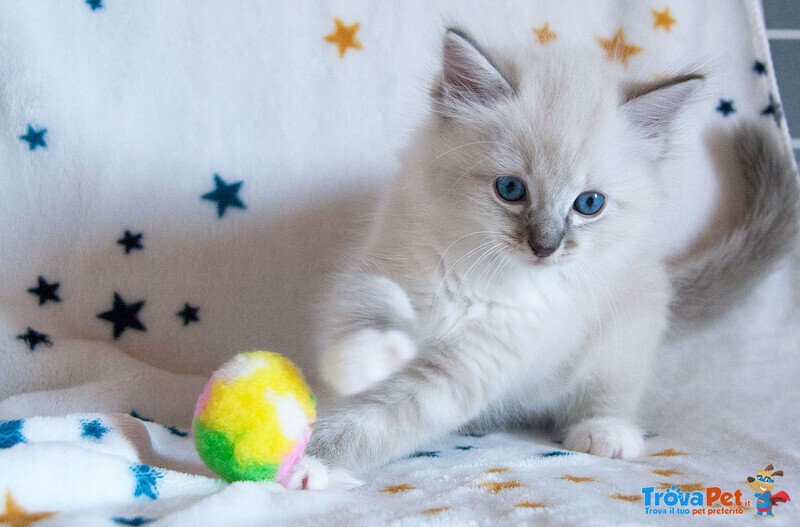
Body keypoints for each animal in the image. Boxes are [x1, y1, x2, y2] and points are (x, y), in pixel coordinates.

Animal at [288, 29, 800, 490]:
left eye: (589, 204)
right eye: (511, 189)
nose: (545, 247)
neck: (479, 275)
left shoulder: (468, 364)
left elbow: (371, 425)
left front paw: (308, 463)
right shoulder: (385, 265)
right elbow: (363, 320)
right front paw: (361, 361)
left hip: (623, 331)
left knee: (613, 389)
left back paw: (606, 433)